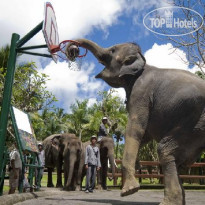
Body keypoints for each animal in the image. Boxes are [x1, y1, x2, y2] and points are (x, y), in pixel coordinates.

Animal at [66, 39, 205, 204]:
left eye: (112, 50)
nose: (73, 50)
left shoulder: (140, 93)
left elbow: (135, 128)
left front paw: (129, 190)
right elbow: (145, 133)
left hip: (193, 121)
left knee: (164, 150)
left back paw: (167, 202)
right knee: (175, 159)